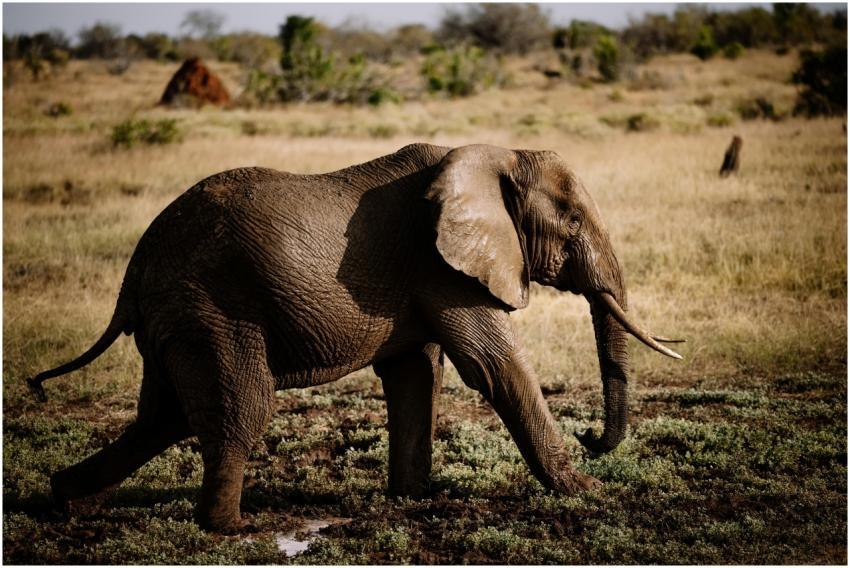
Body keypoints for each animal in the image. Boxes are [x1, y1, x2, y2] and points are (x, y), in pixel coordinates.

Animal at [28, 143, 683, 534]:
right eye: (571, 223)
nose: (592, 437)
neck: (492, 154)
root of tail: (135, 266)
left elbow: (417, 372)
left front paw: (413, 499)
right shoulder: (441, 266)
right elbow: (495, 366)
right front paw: (588, 490)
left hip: (179, 317)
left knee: (162, 417)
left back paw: (66, 500)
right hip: (211, 311)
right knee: (239, 407)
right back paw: (229, 528)